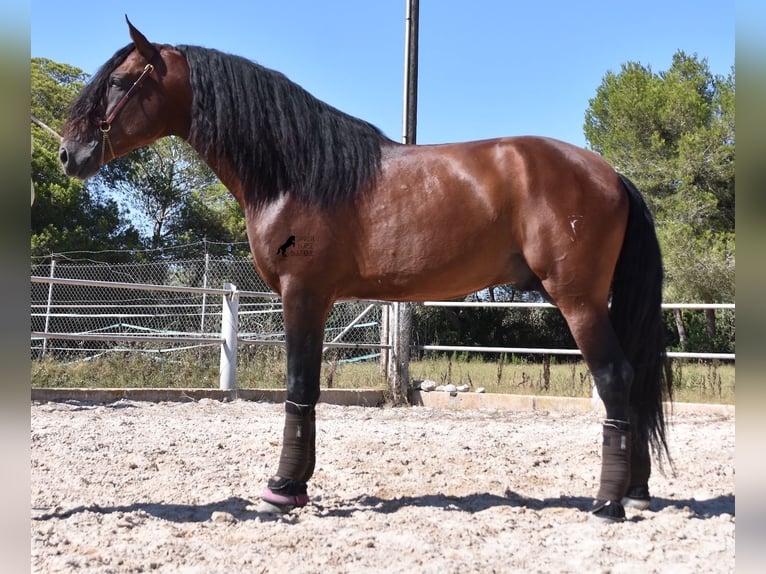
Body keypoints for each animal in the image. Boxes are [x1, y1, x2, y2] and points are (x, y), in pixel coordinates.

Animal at [60, 18, 672, 524]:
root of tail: (611, 175)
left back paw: (607, 504)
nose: (69, 154)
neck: (296, 172)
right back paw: (637, 492)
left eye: (120, 82)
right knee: (634, 381)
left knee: (616, 378)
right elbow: (306, 389)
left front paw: (282, 488)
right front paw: (297, 485)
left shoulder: (303, 293)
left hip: (579, 300)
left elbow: (299, 385)